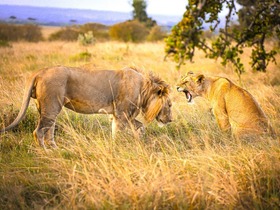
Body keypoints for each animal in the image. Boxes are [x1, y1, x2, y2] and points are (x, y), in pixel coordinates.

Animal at [0, 66, 172, 148]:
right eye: (170, 105)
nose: (170, 120)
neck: (144, 89)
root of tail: (39, 72)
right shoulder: (122, 114)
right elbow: (118, 133)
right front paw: (117, 147)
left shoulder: (122, 115)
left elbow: (139, 127)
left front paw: (138, 141)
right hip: (51, 106)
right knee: (39, 132)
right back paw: (46, 152)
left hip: (46, 108)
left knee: (49, 131)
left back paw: (56, 149)